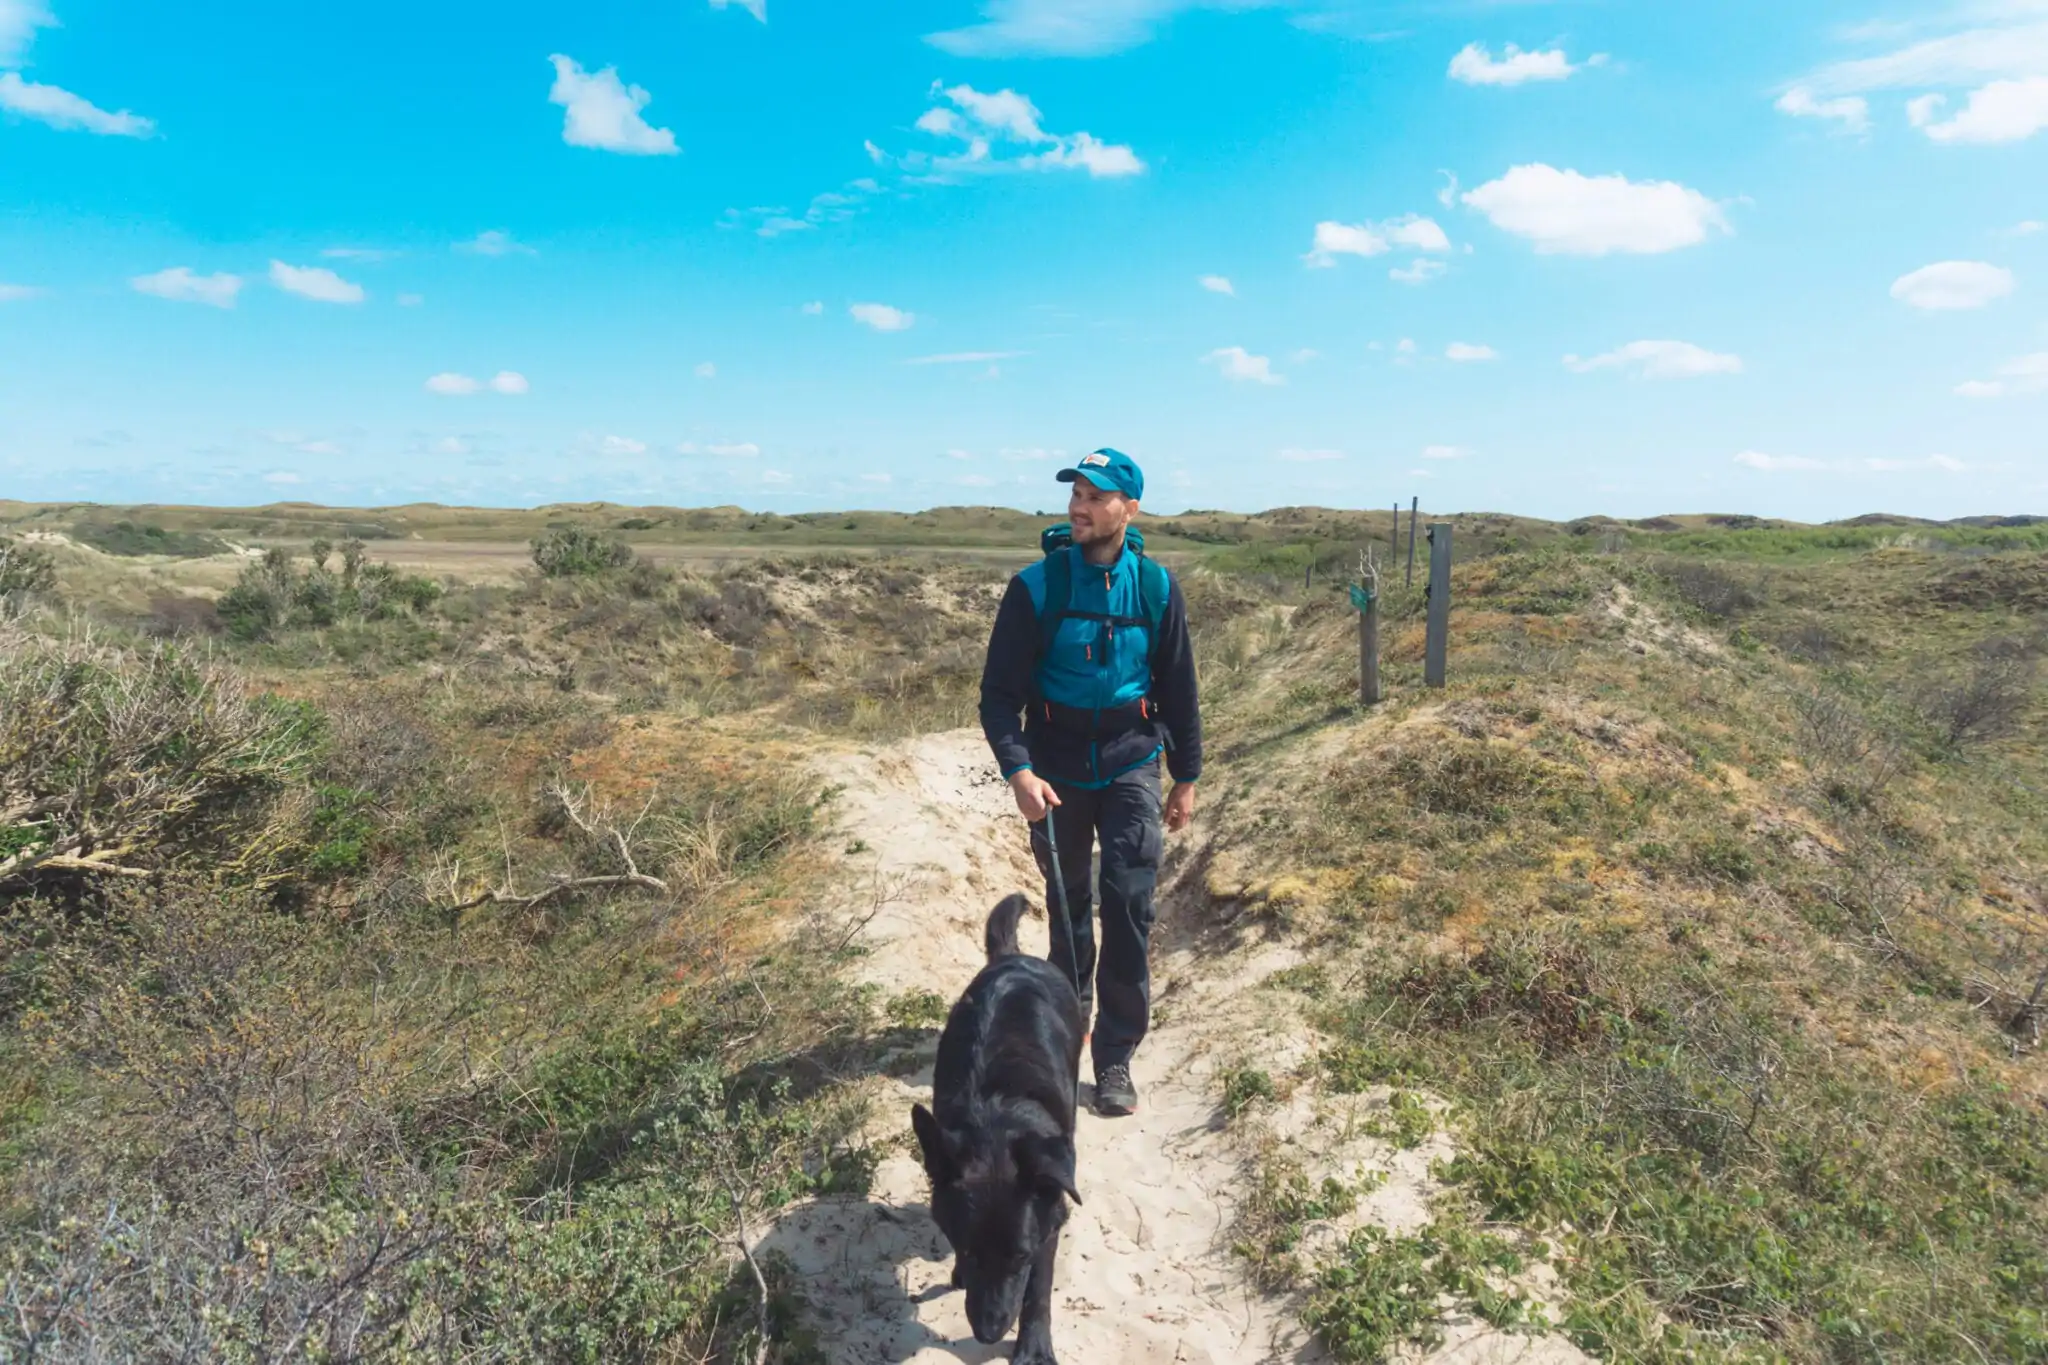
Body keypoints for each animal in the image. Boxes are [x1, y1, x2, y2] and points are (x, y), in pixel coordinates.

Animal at [913, 892, 1089, 1358]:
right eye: (970, 1252)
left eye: (1019, 1259)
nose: (989, 1335)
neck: (994, 1121)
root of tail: (1015, 958)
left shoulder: (1048, 1220)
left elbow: (1039, 1288)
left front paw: (1033, 1345)